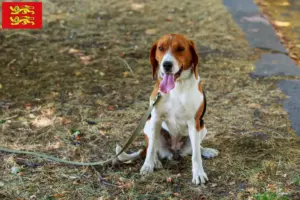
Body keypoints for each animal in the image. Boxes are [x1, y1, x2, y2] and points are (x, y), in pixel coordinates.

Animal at [116, 33, 218, 184]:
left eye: (181, 48)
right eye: (160, 48)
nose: (167, 64)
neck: (177, 86)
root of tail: (174, 152)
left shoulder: (194, 122)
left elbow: (196, 155)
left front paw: (198, 173)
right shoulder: (156, 118)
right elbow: (151, 149)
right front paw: (148, 165)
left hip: (203, 127)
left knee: (195, 148)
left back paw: (206, 150)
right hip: (148, 125)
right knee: (151, 148)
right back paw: (155, 162)